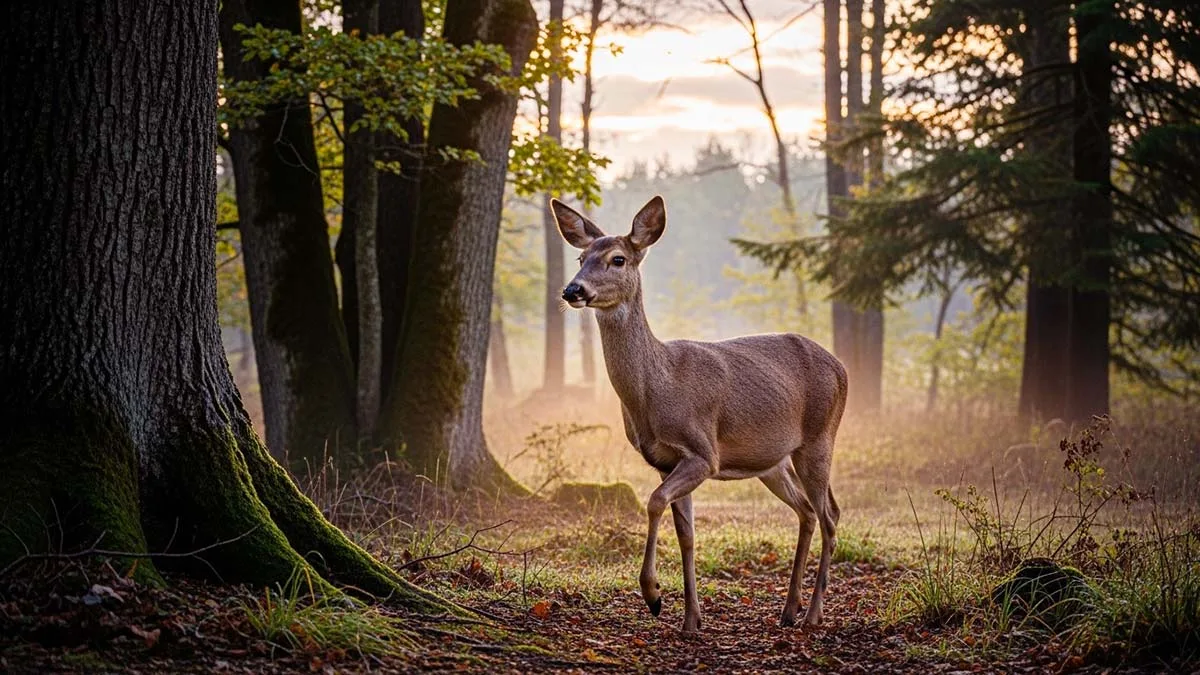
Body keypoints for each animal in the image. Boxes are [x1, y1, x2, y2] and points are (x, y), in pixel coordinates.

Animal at [551, 195, 847, 634]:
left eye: (617, 259)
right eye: (580, 256)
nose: (573, 289)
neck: (656, 389)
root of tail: (843, 369)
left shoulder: (703, 452)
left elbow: (654, 502)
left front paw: (653, 595)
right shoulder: (663, 460)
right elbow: (685, 534)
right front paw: (691, 619)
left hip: (819, 437)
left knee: (830, 514)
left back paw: (812, 613)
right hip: (772, 461)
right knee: (808, 511)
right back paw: (789, 610)